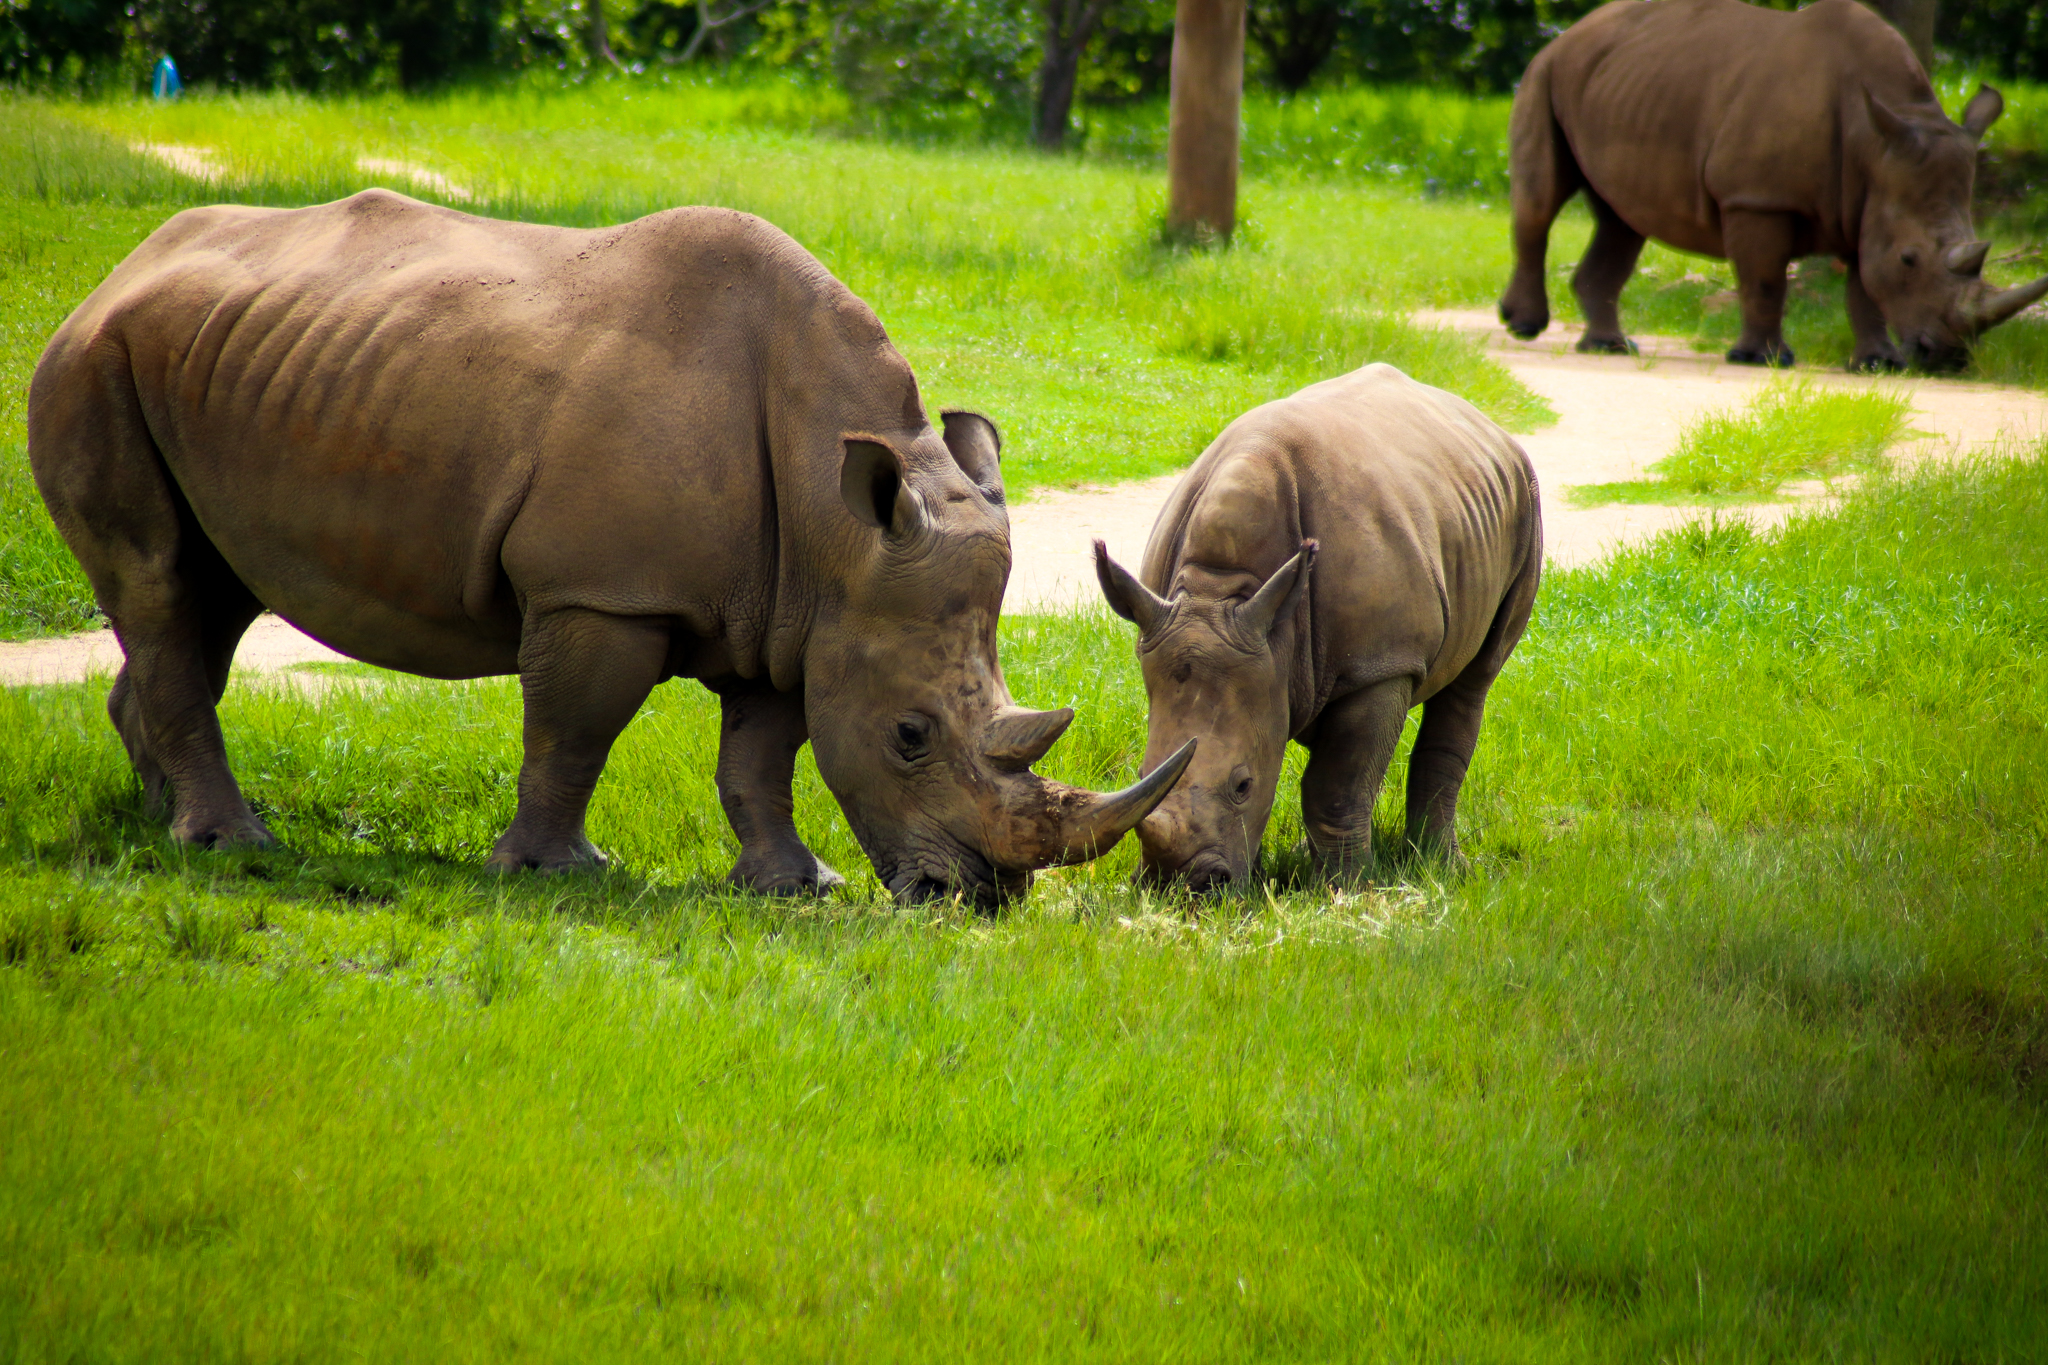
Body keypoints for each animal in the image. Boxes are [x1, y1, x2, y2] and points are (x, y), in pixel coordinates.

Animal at [28, 190, 1193, 906]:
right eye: (910, 736)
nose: (979, 900)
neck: (840, 524)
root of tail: (120, 269)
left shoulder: (802, 614)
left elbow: (762, 754)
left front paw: (793, 886)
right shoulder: (601, 593)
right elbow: (575, 729)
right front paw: (556, 872)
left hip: (216, 364)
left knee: (209, 596)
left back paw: (164, 821)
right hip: (94, 363)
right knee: (163, 586)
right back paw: (232, 845)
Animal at [1093, 364, 1541, 891]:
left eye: (1242, 785)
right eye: (1142, 772)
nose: (1184, 889)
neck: (1220, 592)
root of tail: (1489, 426)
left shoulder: (1381, 665)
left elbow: (1338, 785)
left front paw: (1348, 887)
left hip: (1525, 503)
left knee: (1476, 678)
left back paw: (1441, 868)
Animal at [1498, 0, 2048, 371]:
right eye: (1910, 259)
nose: (1949, 358)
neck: (1876, 143)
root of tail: (1573, 31)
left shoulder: (1868, 203)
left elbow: (1866, 287)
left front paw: (1877, 365)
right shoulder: (1756, 199)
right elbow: (1764, 279)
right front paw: (1761, 359)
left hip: (1622, 85)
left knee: (1622, 220)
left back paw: (1610, 347)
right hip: (1543, 74)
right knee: (1541, 203)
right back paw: (1524, 327)